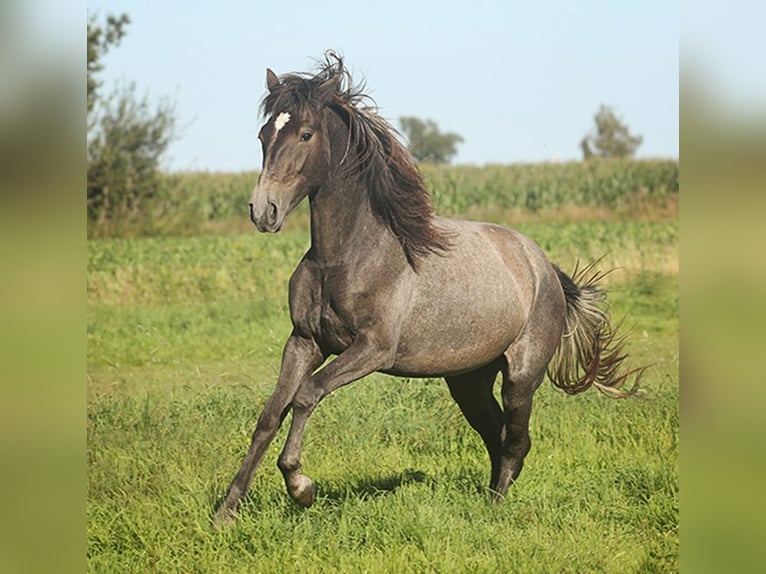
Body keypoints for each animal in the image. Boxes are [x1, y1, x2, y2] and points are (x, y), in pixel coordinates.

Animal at [214, 52, 642, 524]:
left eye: (305, 134)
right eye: (263, 134)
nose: (263, 211)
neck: (346, 257)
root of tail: (544, 267)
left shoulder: (372, 350)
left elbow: (308, 394)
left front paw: (301, 486)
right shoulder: (304, 341)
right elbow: (271, 415)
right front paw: (226, 512)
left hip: (521, 377)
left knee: (515, 440)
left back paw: (494, 510)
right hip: (469, 381)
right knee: (496, 436)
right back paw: (487, 499)